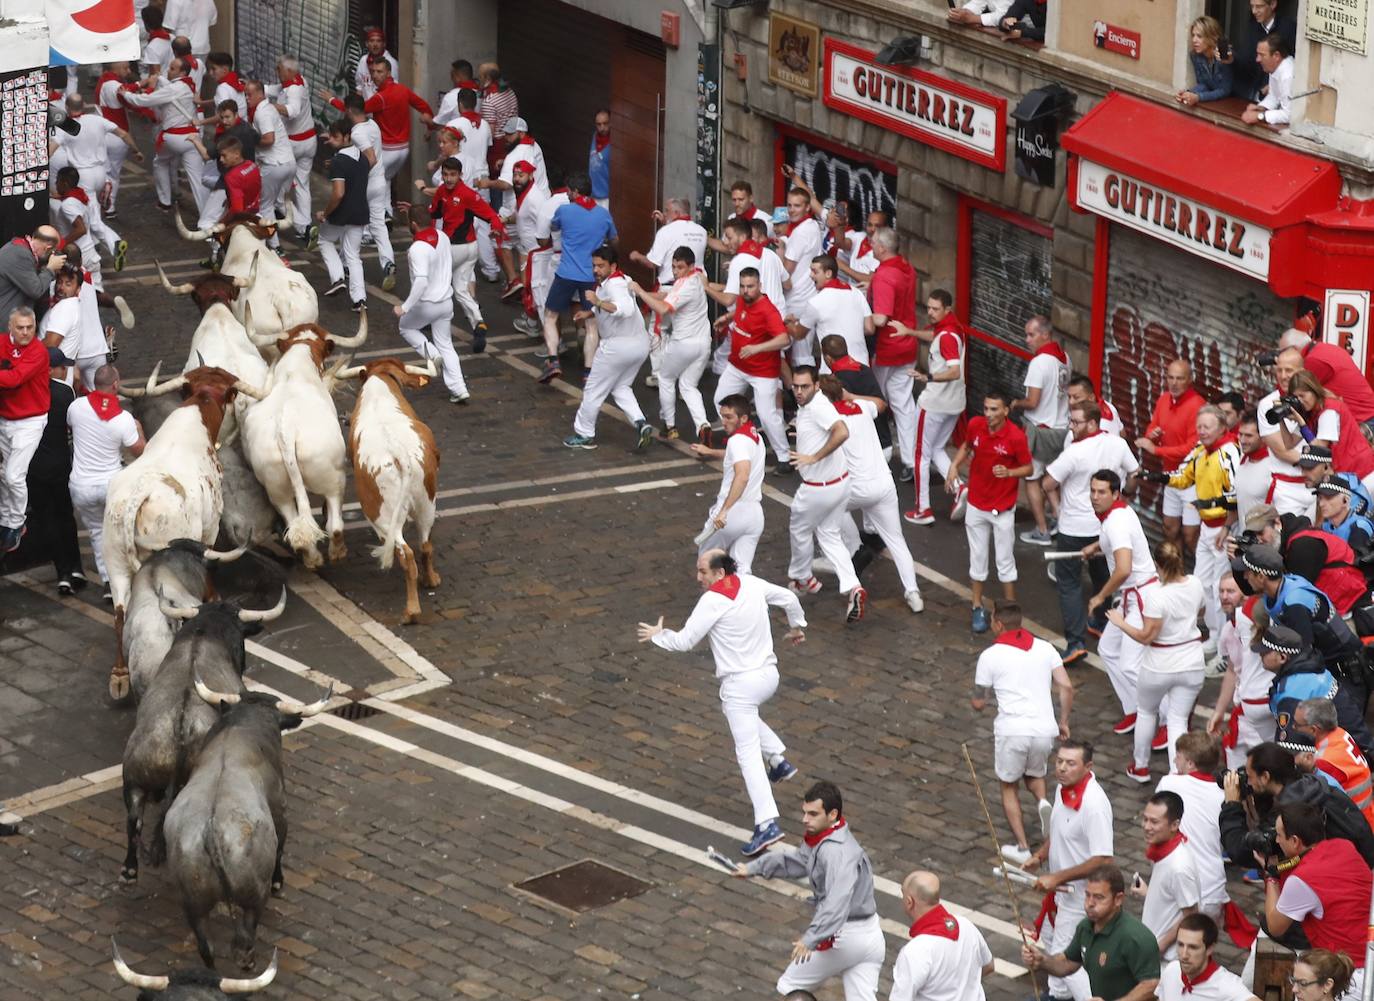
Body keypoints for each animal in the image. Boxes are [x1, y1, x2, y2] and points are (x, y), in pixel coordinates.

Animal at [241, 315, 368, 565]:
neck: (294, 373)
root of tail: (286, 433)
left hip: (277, 489)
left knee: (295, 525)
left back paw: (312, 558)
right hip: (334, 480)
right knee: (335, 525)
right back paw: (336, 552)